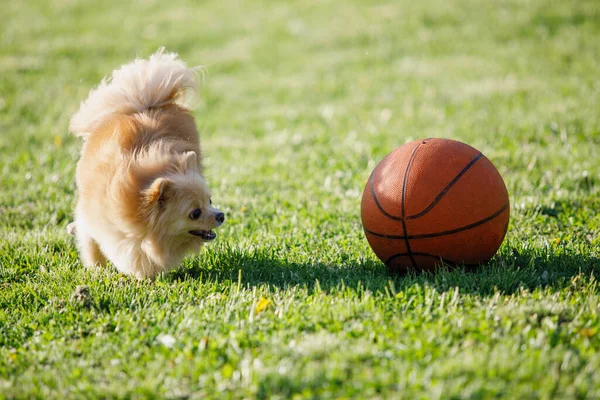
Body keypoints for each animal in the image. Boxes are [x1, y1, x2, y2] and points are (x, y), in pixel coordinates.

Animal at [68, 48, 223, 280]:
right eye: (195, 213)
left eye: (210, 201)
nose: (221, 215)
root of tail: (144, 103)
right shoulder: (90, 217)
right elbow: (91, 244)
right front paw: (97, 269)